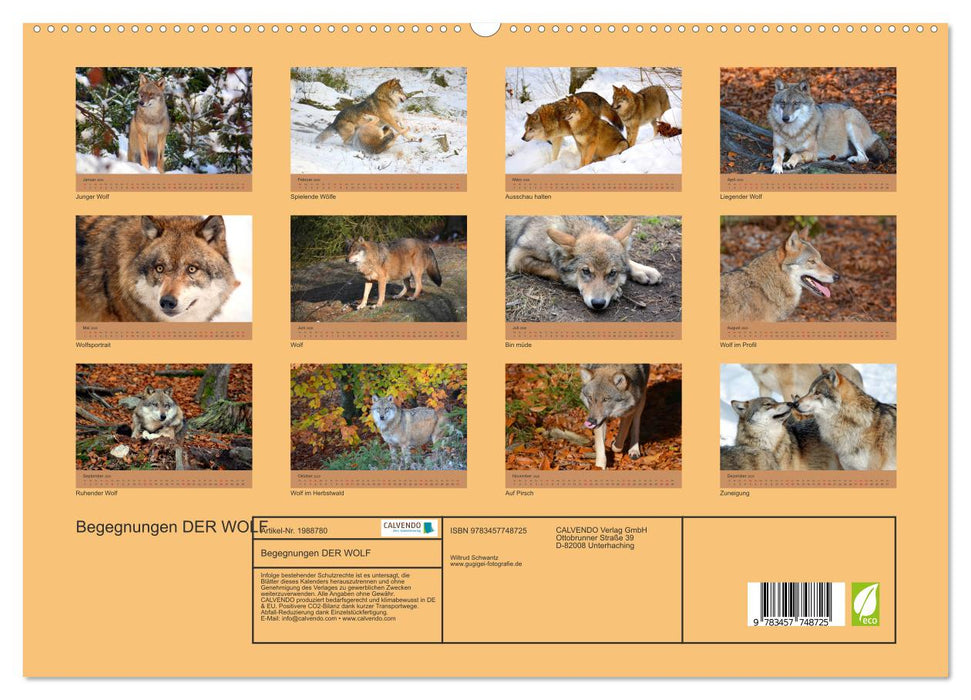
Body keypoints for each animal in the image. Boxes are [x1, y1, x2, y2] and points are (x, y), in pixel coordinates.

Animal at [506, 216, 661, 311]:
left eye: (612, 273)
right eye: (586, 271)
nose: (598, 304)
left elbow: (628, 261)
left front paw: (644, 270)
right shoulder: (517, 257)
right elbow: (557, 270)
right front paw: (616, 291)